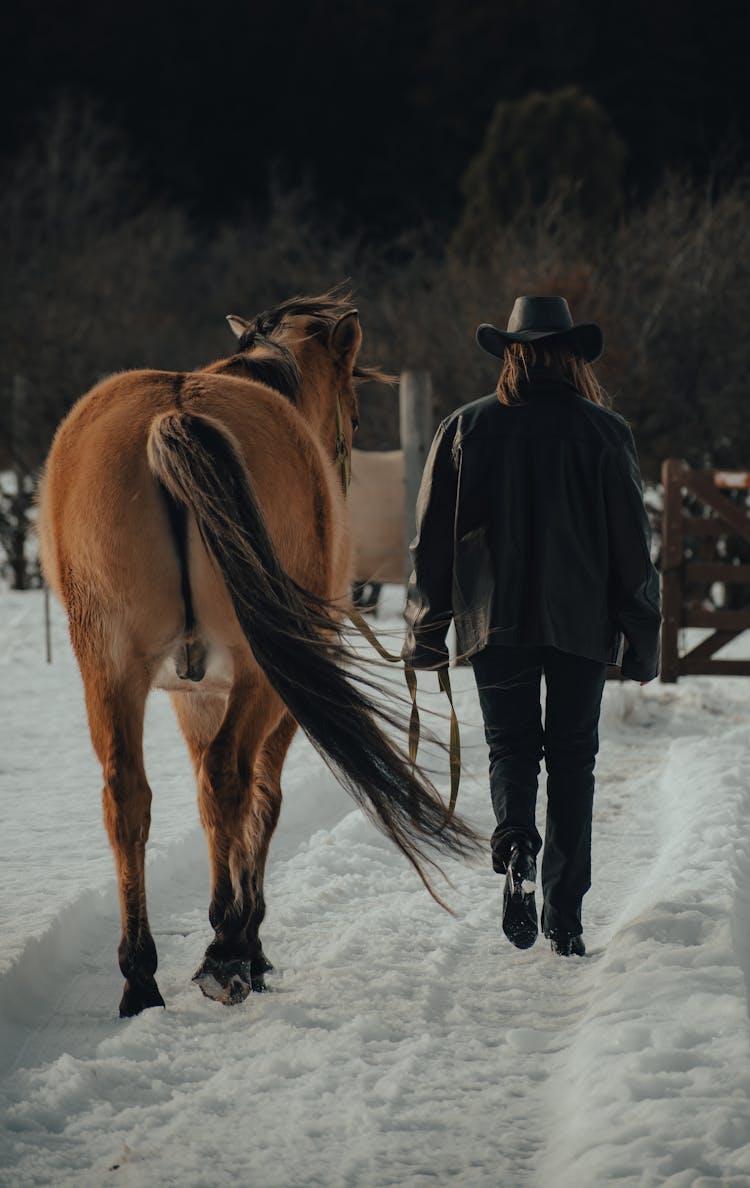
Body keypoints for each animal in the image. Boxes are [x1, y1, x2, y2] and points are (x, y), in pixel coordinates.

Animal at [38, 292, 477, 1016]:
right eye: (354, 414)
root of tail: (173, 414)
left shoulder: (197, 695)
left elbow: (203, 799)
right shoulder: (271, 695)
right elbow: (261, 800)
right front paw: (247, 940)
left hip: (108, 667)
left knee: (129, 795)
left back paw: (141, 979)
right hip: (254, 674)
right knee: (231, 779)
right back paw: (224, 955)